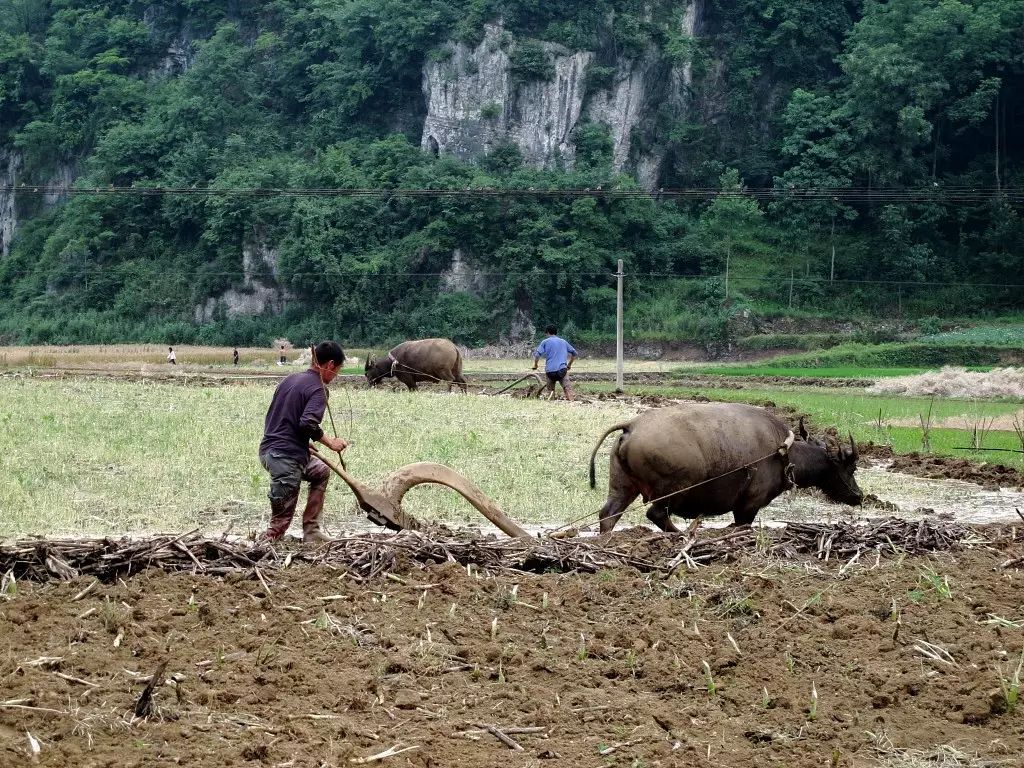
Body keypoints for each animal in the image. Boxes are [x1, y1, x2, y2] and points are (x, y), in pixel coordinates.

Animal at [589, 403, 860, 536]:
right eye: (852, 467)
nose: (859, 495)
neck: (782, 451)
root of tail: (632, 426)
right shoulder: (748, 506)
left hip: (623, 486)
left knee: (608, 515)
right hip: (676, 488)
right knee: (655, 514)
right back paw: (681, 535)